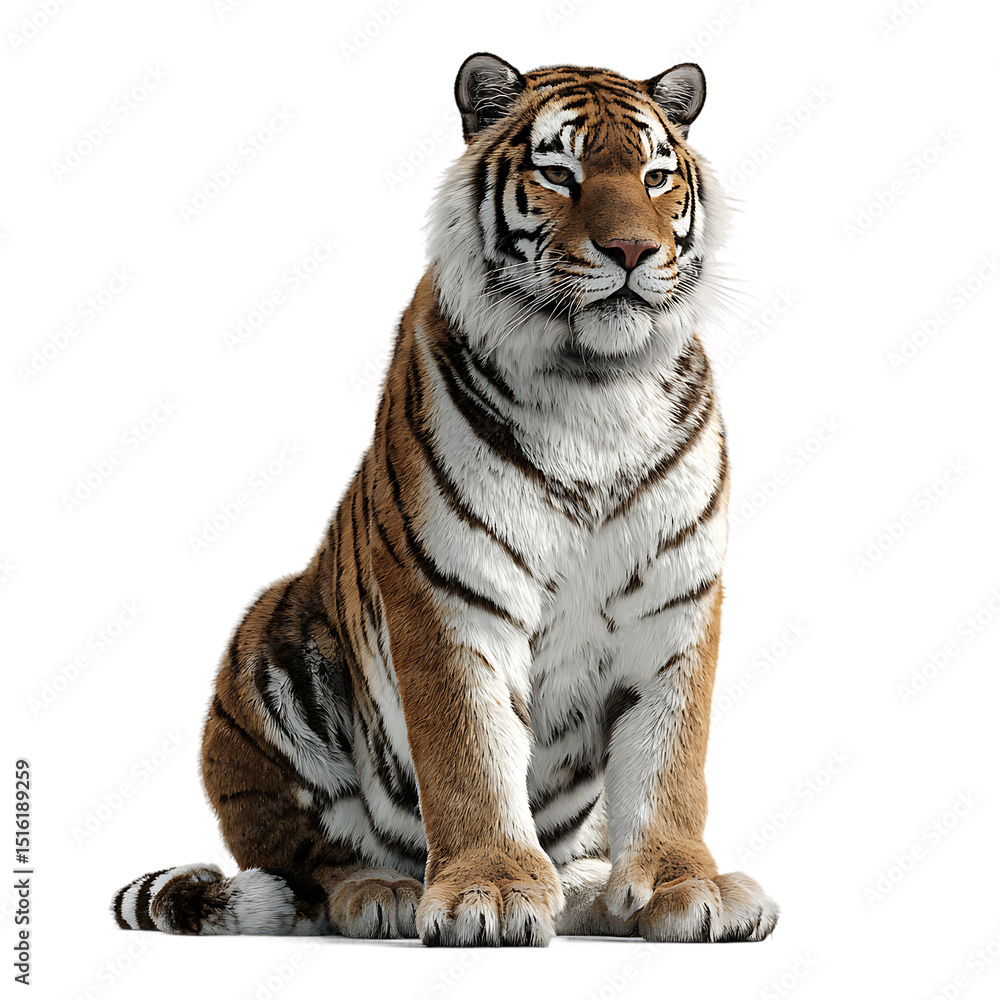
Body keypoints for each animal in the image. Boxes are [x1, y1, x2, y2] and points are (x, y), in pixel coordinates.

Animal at [111, 52, 779, 946]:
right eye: (559, 174)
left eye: (655, 175)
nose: (635, 248)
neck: (599, 388)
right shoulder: (451, 595)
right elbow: (469, 753)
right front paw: (488, 892)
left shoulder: (676, 601)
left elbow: (670, 760)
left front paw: (685, 887)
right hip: (268, 645)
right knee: (313, 861)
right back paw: (384, 891)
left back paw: (587, 890)